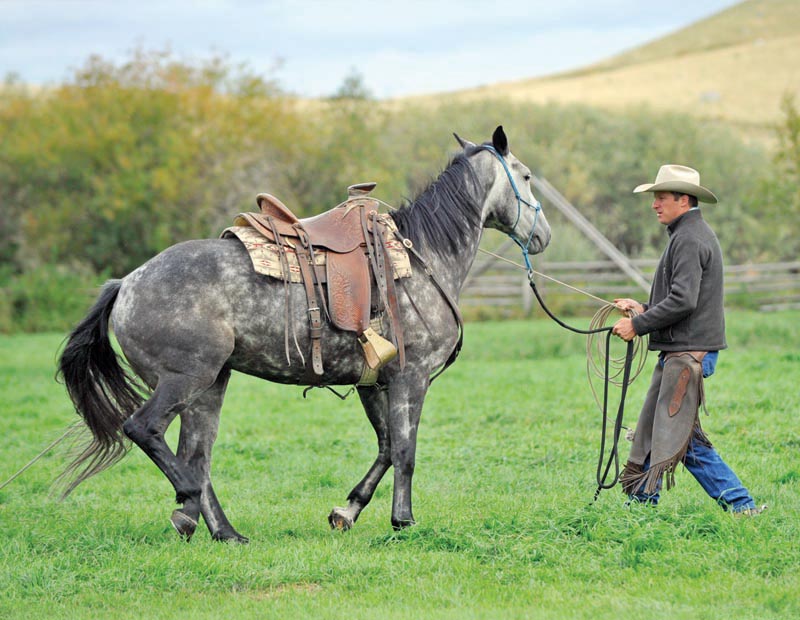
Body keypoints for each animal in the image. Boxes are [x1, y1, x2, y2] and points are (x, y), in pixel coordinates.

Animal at [57, 125, 551, 543]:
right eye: (526, 176)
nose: (544, 234)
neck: (420, 258)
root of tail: (126, 284)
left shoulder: (374, 383)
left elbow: (387, 448)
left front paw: (346, 512)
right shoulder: (412, 378)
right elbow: (406, 452)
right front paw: (403, 521)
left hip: (209, 387)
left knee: (198, 456)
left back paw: (222, 531)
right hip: (186, 380)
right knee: (148, 432)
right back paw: (188, 502)